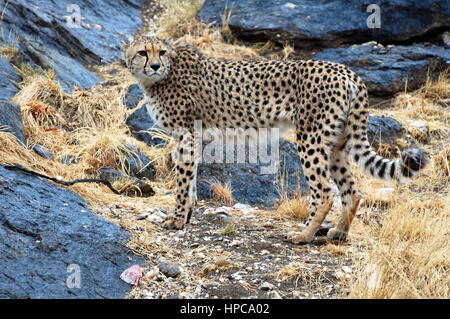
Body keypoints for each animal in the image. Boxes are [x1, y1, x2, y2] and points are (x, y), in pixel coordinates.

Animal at [122, 35, 426, 245]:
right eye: (142, 52)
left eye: (160, 52)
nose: (155, 65)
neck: (161, 76)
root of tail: (347, 71)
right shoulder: (194, 137)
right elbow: (191, 180)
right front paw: (186, 216)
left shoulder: (185, 135)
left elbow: (183, 182)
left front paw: (176, 220)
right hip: (337, 142)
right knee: (352, 191)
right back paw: (339, 233)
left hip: (310, 138)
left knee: (324, 191)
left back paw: (303, 235)